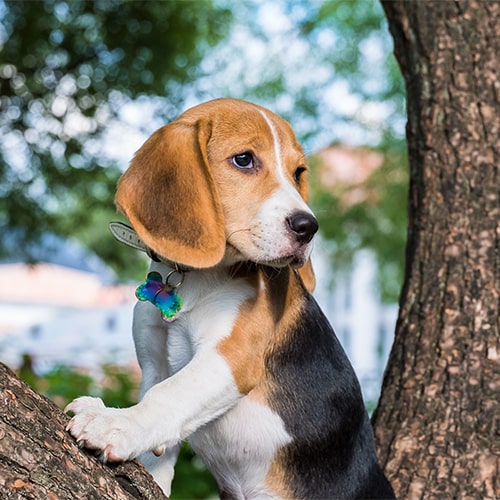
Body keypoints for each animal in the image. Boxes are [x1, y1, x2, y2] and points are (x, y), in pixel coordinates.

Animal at [66, 98, 394, 500]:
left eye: (298, 172)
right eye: (243, 160)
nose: (308, 227)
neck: (191, 280)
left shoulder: (232, 356)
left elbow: (169, 396)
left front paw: (115, 423)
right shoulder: (155, 363)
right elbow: (159, 410)